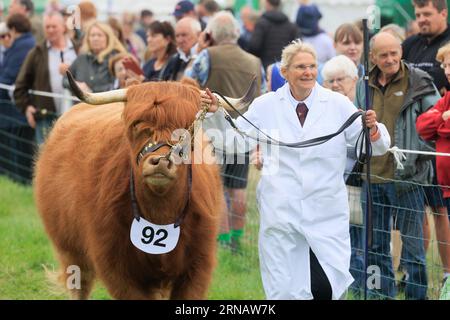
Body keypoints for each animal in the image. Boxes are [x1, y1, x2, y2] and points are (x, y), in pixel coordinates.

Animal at [33, 75, 255, 300]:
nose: (162, 161)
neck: (160, 211)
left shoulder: (198, 265)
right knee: (79, 286)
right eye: (138, 124)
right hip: (71, 251)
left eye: (187, 128)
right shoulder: (115, 266)